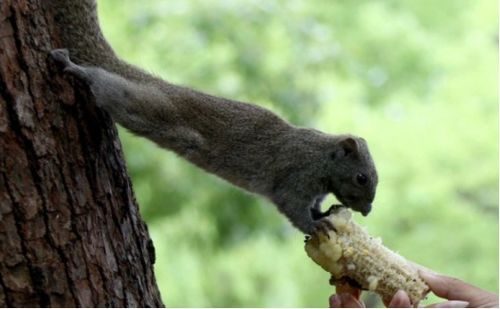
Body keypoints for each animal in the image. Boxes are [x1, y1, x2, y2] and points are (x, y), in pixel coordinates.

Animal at [48, 0, 378, 233]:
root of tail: (159, 85)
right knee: (110, 90)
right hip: (147, 107)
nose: (367, 211)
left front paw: (325, 214)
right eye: (361, 177)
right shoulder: (296, 176)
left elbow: (313, 207)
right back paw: (75, 68)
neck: (322, 157)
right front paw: (316, 226)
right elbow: (293, 207)